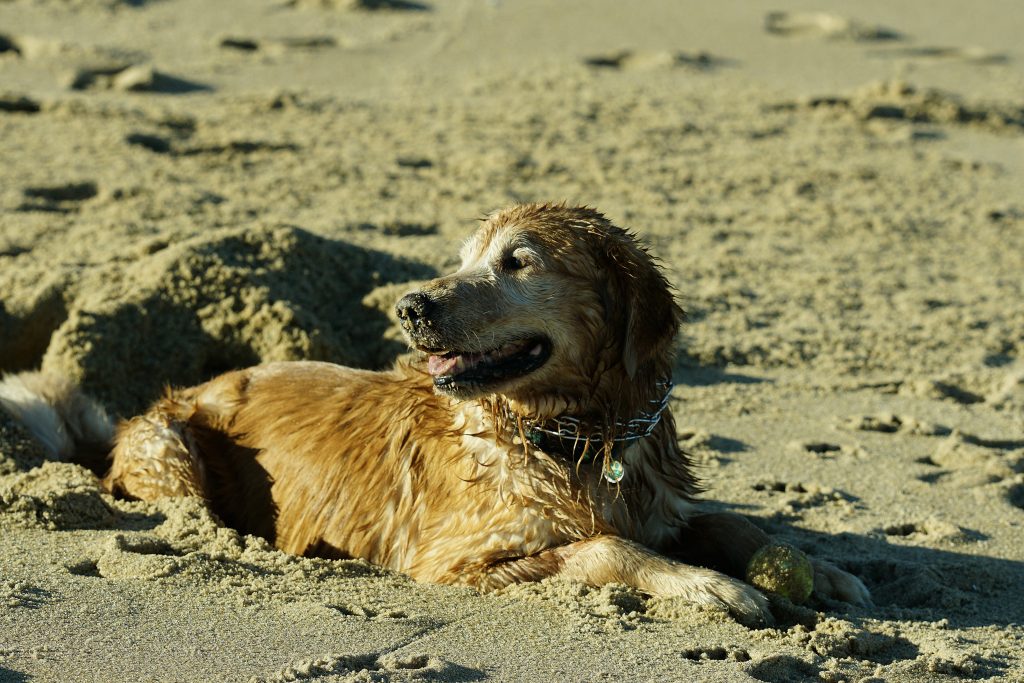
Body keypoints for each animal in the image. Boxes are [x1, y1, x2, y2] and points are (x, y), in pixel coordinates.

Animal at [2, 204, 864, 626]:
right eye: (463, 259)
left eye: (518, 261)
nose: (410, 305)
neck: (573, 434)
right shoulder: (459, 558)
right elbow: (605, 546)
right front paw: (709, 586)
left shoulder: (657, 493)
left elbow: (730, 521)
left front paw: (817, 566)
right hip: (172, 447)